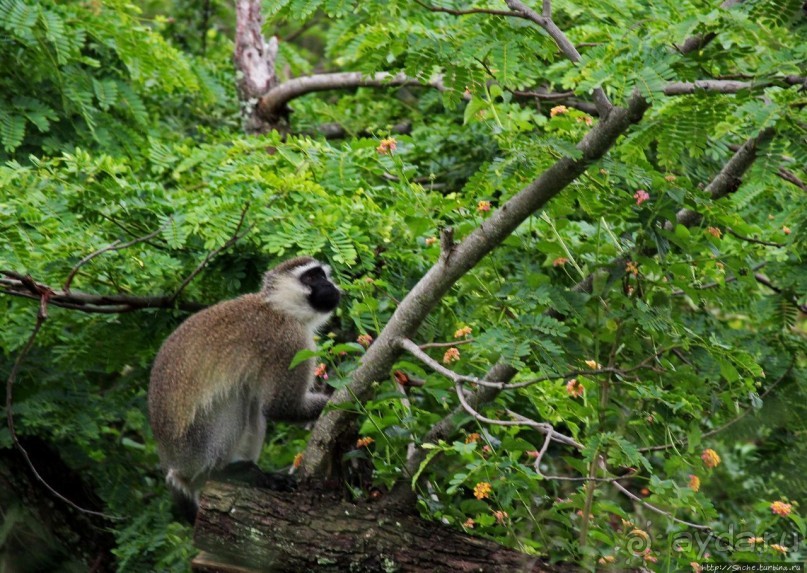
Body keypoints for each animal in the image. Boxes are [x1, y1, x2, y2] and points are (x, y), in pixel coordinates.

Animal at [149, 256, 340, 520]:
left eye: (322, 275)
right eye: (311, 278)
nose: (330, 285)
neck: (278, 308)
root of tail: (173, 465)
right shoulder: (289, 342)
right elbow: (281, 407)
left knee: (251, 404)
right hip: (194, 450)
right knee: (235, 401)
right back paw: (225, 472)